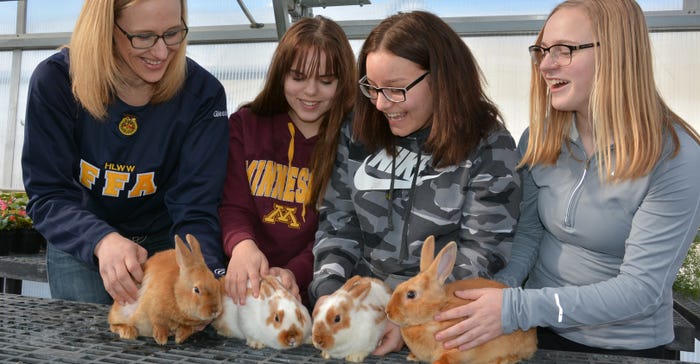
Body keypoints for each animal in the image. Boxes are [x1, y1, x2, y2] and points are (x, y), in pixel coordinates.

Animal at [386, 236, 540, 364]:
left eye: (411, 294)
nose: (388, 312)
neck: (436, 311)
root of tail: (533, 336)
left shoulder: (457, 347)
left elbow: (447, 358)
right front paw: (412, 356)